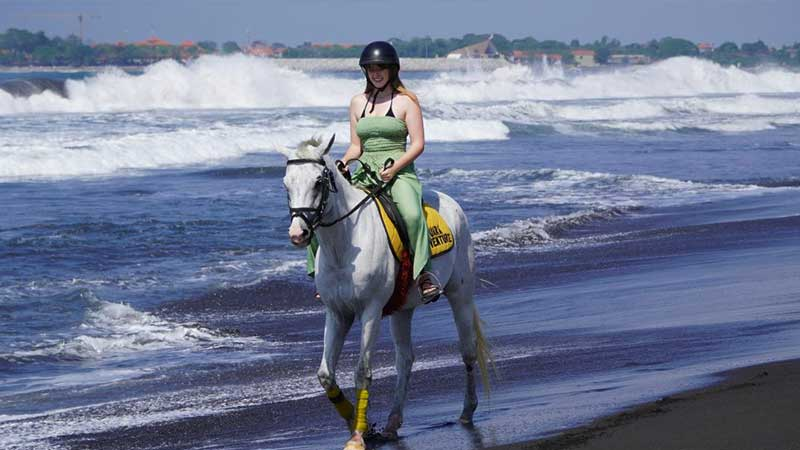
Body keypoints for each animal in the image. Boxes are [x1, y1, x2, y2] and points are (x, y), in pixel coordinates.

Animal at [280, 135, 490, 450]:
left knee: (467, 351)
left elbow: (362, 372)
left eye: (318, 181)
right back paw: (392, 423)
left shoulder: (371, 311)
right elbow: (326, 376)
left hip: (460, 295)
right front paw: (363, 426)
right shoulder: (337, 313)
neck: (345, 243)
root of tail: (452, 204)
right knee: (405, 360)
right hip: (403, 309)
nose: (298, 233)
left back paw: (467, 411)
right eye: (286, 184)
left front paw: (357, 435)